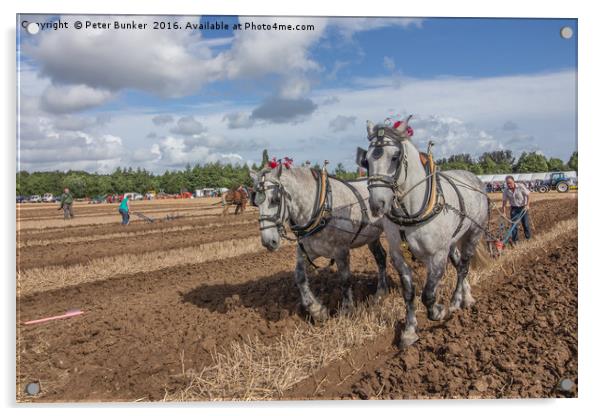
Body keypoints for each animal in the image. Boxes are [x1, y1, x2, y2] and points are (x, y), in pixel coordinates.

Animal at [250, 166, 386, 322]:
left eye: (275, 200)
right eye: (255, 202)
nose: (268, 242)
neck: (322, 207)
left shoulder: (341, 250)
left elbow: (345, 279)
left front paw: (347, 310)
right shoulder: (308, 251)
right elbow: (299, 276)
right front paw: (317, 310)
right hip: (372, 237)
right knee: (381, 257)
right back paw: (380, 293)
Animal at [356, 118, 488, 348]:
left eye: (395, 157)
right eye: (367, 161)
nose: (377, 204)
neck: (410, 211)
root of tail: (474, 178)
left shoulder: (437, 255)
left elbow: (428, 293)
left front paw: (438, 310)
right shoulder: (398, 256)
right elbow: (409, 293)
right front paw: (409, 331)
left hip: (474, 233)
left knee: (464, 266)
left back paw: (457, 300)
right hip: (453, 240)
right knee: (458, 264)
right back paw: (467, 296)